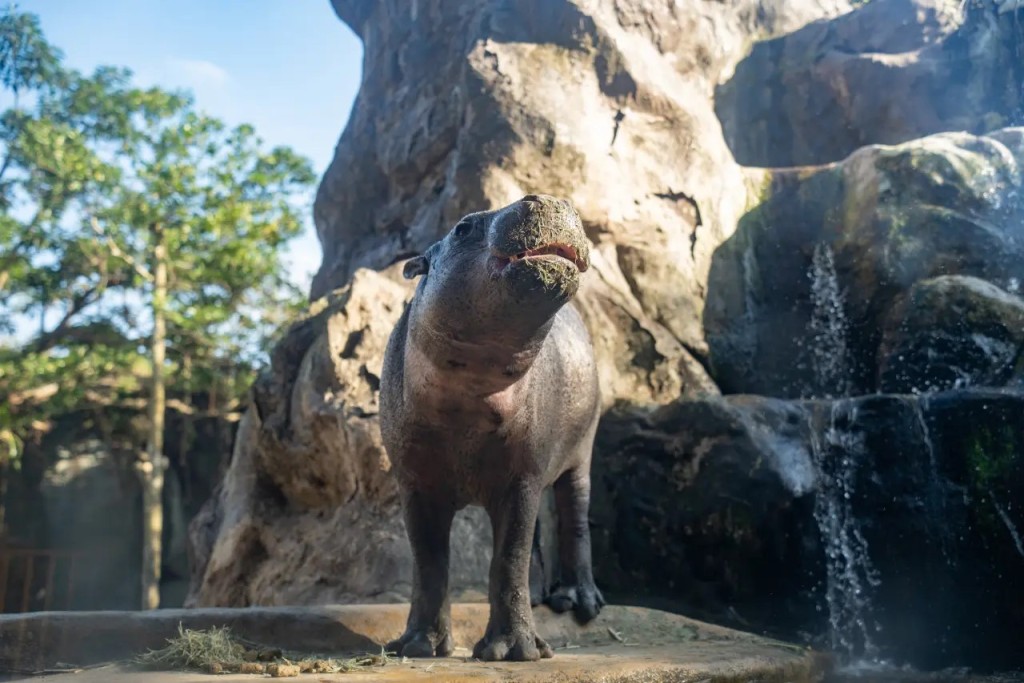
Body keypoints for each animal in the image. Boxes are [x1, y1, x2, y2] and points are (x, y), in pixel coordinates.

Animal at [385, 193, 606, 663]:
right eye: (463, 227)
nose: (552, 198)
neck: (470, 393)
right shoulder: (415, 482)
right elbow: (429, 560)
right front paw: (416, 647)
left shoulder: (520, 478)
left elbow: (508, 558)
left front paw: (514, 651)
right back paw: (542, 598)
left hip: (580, 455)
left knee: (574, 518)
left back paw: (579, 602)